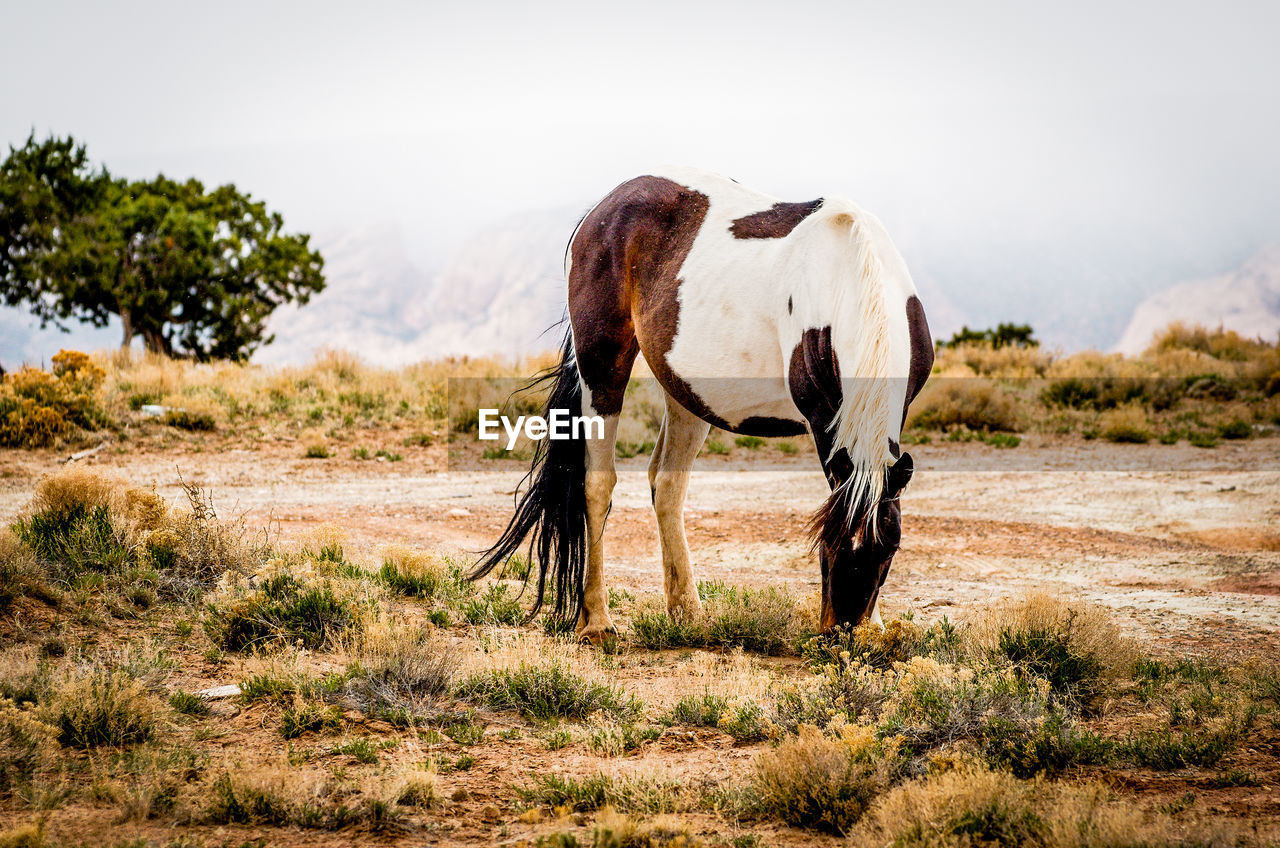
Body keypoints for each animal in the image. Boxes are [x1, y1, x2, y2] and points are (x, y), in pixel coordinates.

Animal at [476, 166, 936, 645]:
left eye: (890, 547)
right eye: (826, 541)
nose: (842, 630)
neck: (851, 272)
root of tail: (604, 208)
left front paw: (876, 624)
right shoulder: (822, 419)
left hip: (688, 393)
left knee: (667, 486)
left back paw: (687, 611)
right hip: (602, 371)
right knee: (597, 486)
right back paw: (598, 621)